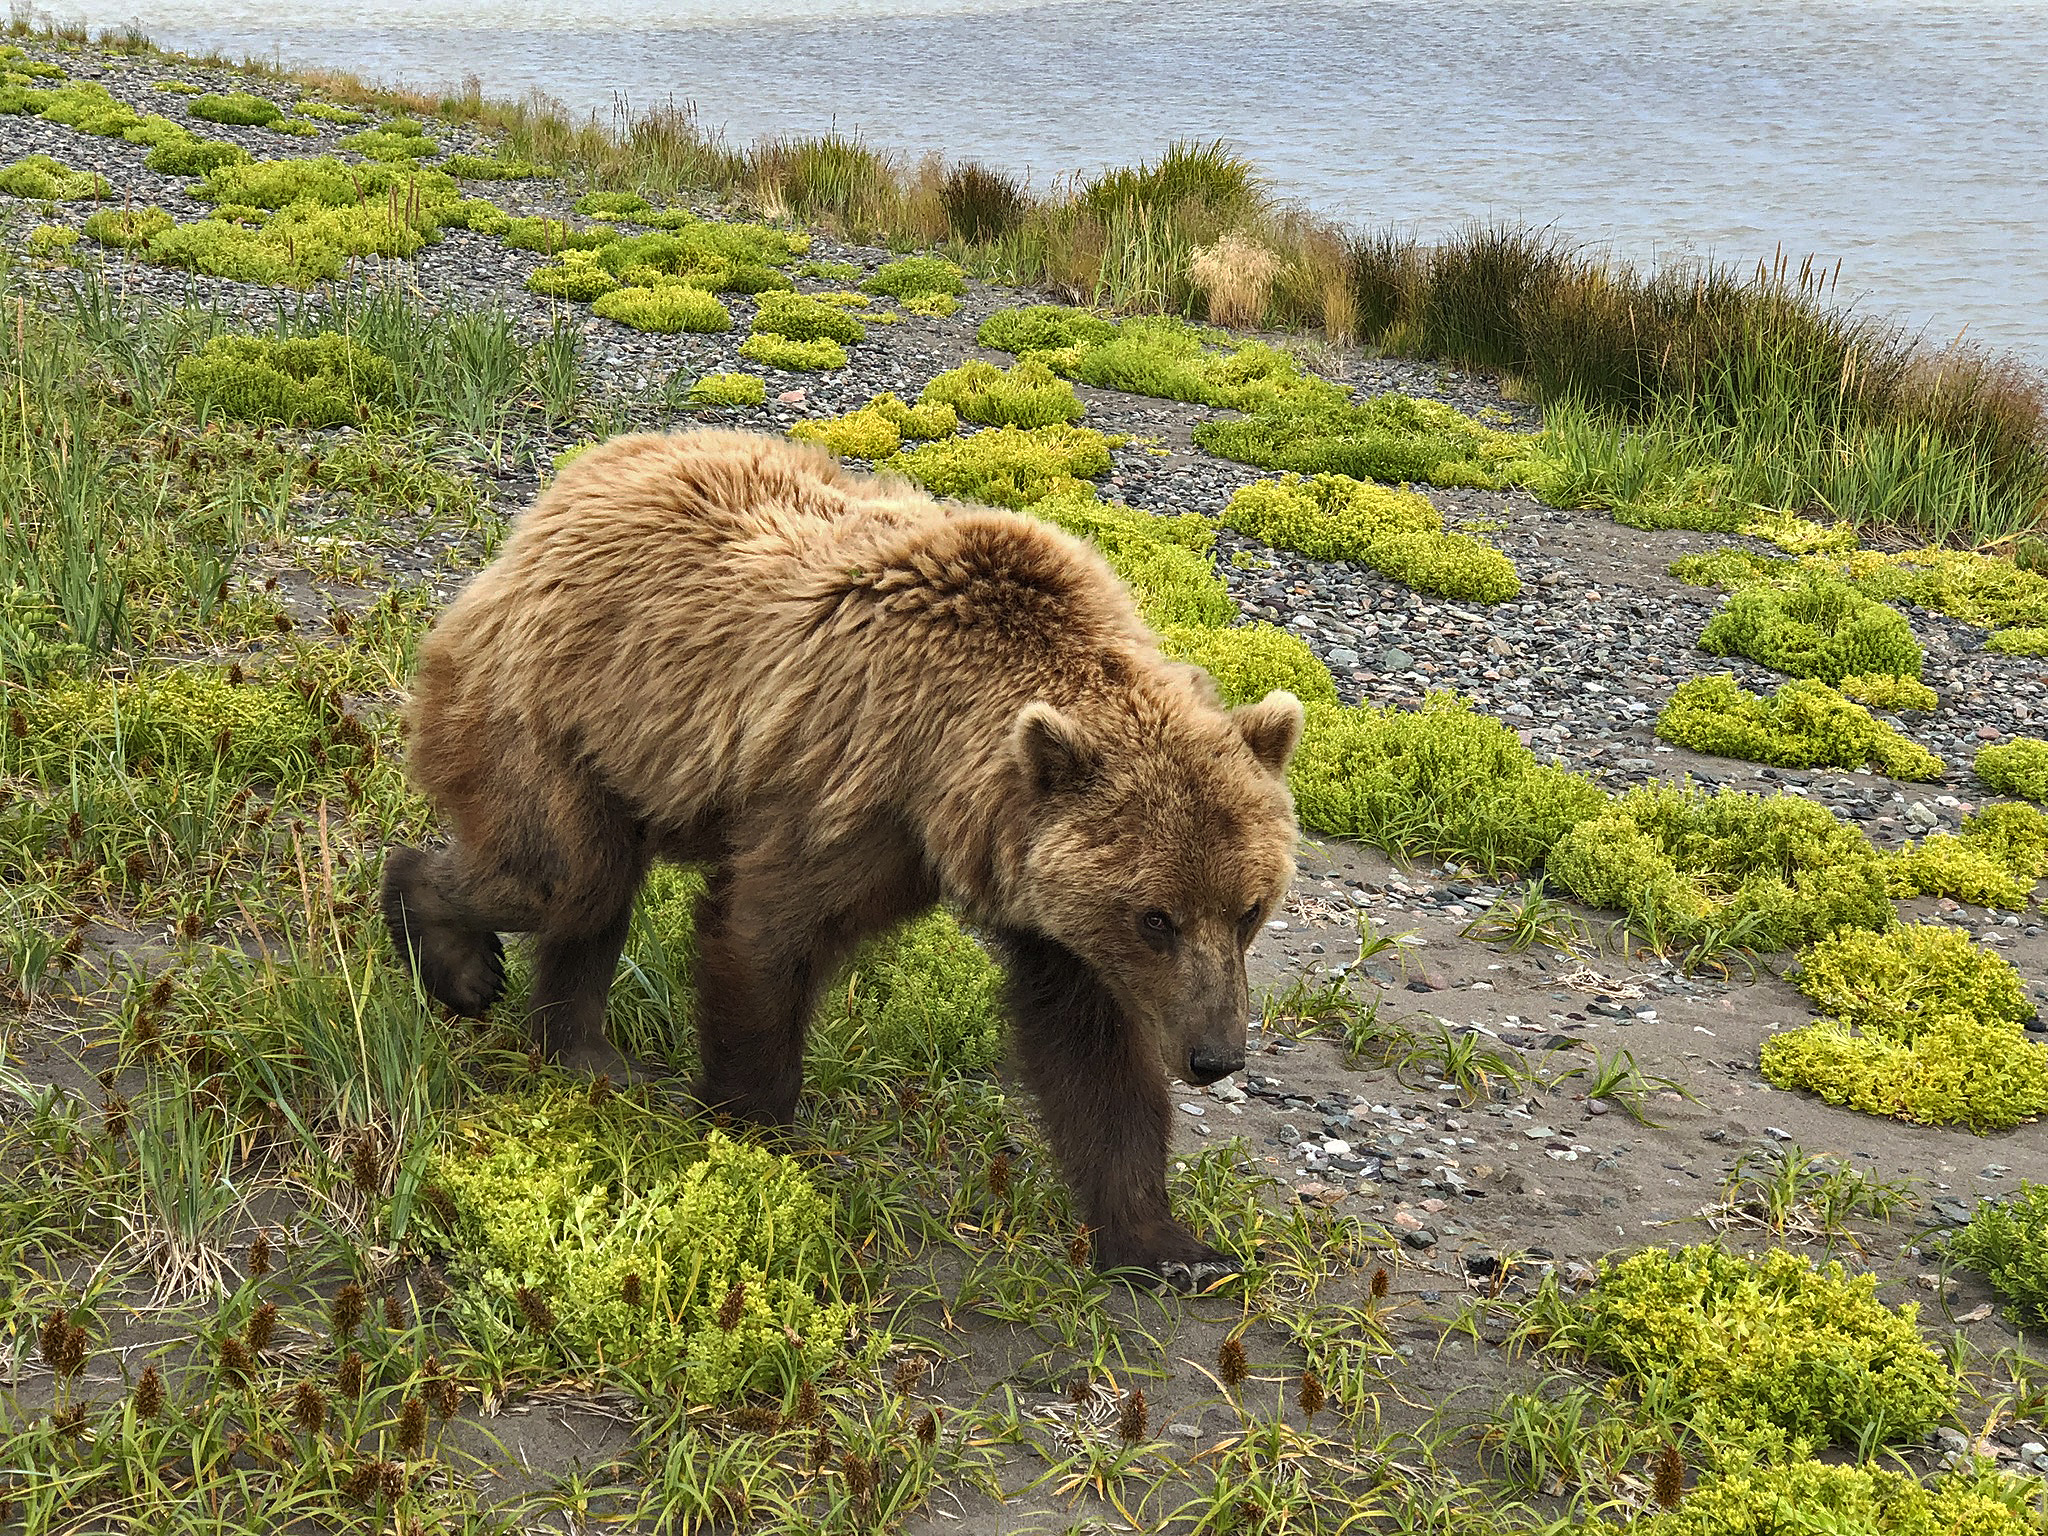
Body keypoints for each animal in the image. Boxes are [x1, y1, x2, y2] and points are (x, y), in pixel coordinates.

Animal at [382, 429, 1304, 1288]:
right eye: (1157, 917)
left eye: (1248, 911)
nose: (1216, 1056)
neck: (952, 771)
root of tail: (568, 484)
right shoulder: (850, 792)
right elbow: (766, 934)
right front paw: (752, 1142)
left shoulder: (1041, 891)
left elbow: (1091, 1043)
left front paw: (1169, 1244)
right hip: (553, 704)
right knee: (564, 878)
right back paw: (451, 951)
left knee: (590, 894)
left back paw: (581, 1053)